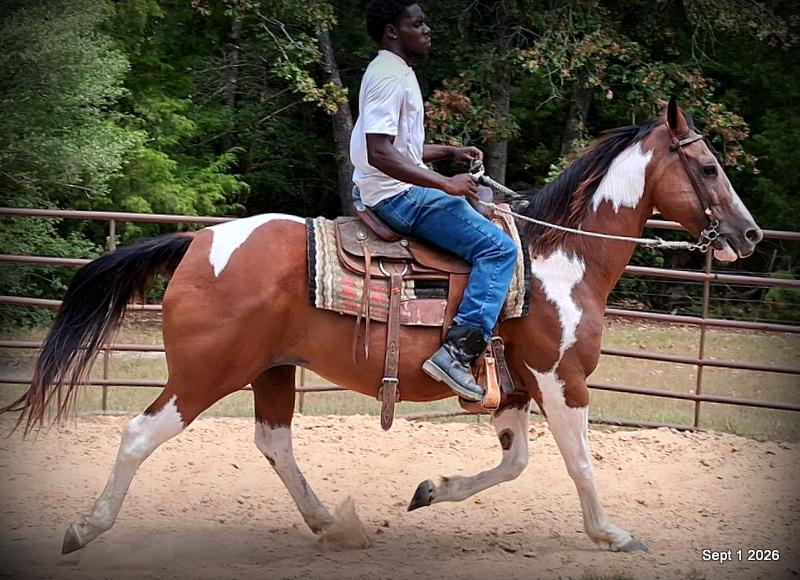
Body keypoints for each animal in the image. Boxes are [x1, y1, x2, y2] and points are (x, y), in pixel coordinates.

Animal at [2, 98, 762, 555]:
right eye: (707, 166)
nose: (750, 234)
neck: (562, 256)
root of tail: (197, 241)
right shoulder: (560, 377)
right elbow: (577, 461)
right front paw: (609, 533)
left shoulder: (515, 388)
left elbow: (515, 462)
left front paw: (432, 492)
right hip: (205, 374)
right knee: (139, 434)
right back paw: (84, 529)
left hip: (271, 370)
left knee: (273, 442)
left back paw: (331, 524)